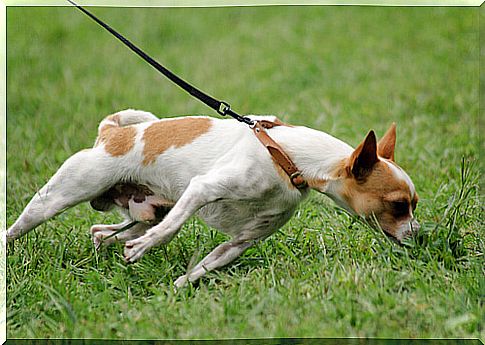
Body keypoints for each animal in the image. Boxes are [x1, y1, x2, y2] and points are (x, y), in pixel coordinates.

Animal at [5, 109, 418, 286]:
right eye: (399, 205)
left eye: (414, 206)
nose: (421, 236)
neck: (287, 155)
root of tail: (110, 133)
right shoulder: (202, 189)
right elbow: (172, 230)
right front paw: (147, 249)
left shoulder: (242, 241)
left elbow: (206, 266)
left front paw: (177, 289)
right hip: (57, 197)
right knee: (18, 228)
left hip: (146, 210)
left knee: (103, 231)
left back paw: (106, 245)